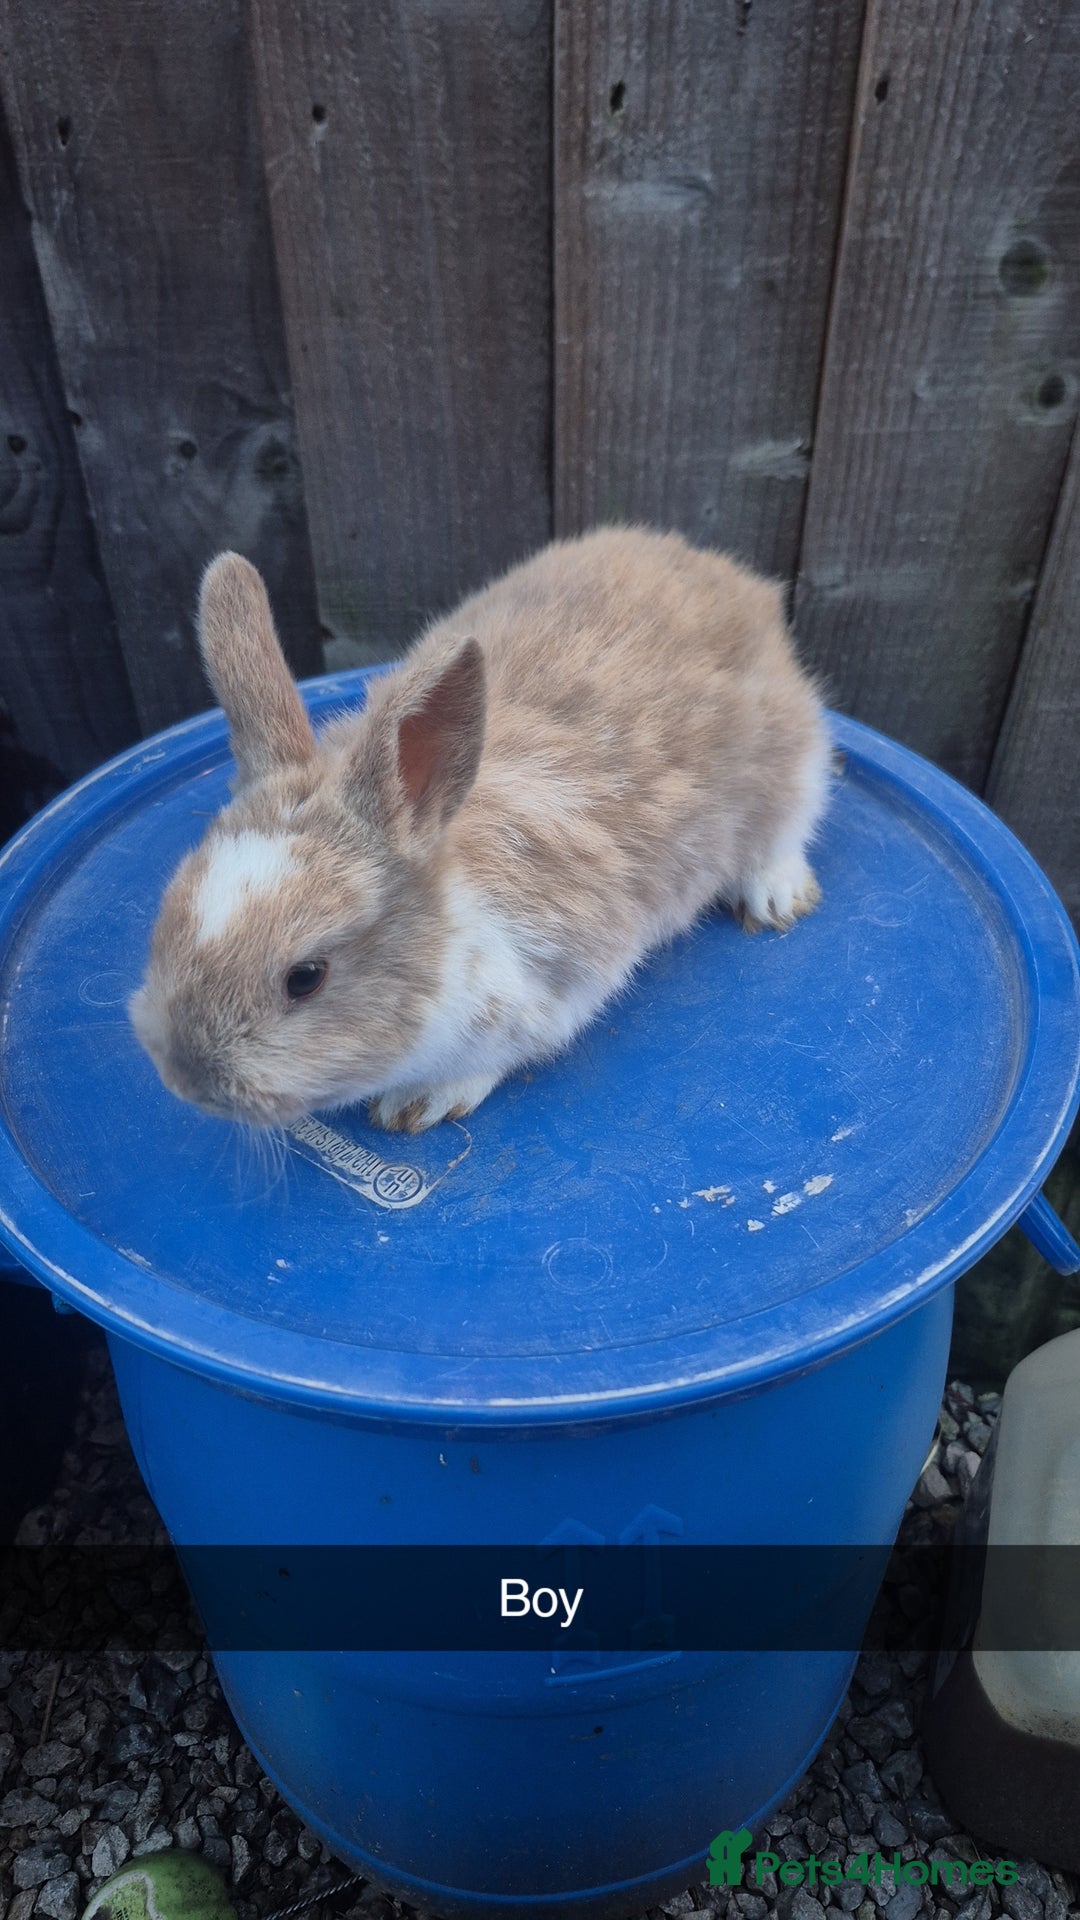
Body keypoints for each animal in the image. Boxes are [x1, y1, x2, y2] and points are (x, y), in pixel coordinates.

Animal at [129, 528, 830, 1133]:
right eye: (168, 915)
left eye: (306, 976)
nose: (184, 1078)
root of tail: (727, 576)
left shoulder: (557, 981)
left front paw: (417, 1103)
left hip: (795, 762)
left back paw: (776, 899)